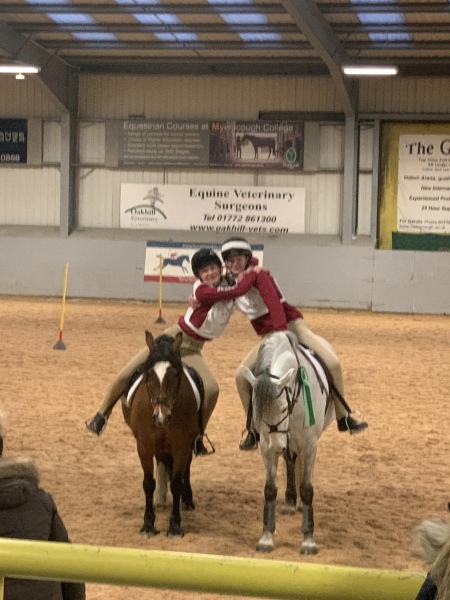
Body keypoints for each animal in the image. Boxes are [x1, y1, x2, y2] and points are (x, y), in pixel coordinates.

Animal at [122, 331, 201, 537]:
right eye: (149, 375)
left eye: (175, 374)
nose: (161, 416)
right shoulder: (144, 446)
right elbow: (148, 483)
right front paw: (148, 524)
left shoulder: (182, 445)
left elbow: (177, 483)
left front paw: (175, 525)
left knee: (185, 469)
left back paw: (187, 499)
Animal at [242, 330, 334, 554]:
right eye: (255, 410)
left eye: (283, 408)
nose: (277, 446)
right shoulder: (266, 447)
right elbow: (270, 489)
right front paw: (266, 538)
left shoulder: (309, 445)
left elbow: (307, 489)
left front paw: (308, 540)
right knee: (291, 461)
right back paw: (291, 501)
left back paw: (298, 503)